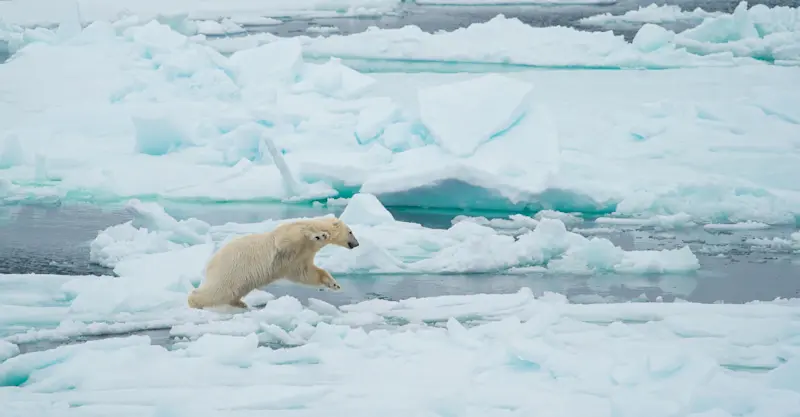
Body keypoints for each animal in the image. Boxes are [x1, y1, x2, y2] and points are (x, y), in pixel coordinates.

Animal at [187, 216, 359, 310]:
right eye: (351, 231)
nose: (357, 244)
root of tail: (210, 263)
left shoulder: (299, 259)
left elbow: (306, 273)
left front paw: (334, 284)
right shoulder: (289, 236)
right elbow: (289, 237)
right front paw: (319, 235)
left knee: (231, 293)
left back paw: (240, 303)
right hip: (229, 270)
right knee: (216, 291)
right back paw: (194, 301)